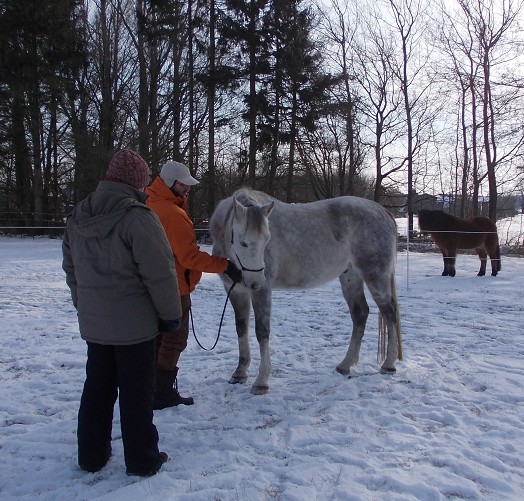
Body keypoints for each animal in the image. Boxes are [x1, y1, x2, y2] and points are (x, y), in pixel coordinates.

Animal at [209, 188, 402, 394]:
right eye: (243, 243)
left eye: (267, 240)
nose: (256, 281)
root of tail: (383, 212)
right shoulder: (236, 292)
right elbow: (241, 328)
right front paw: (239, 373)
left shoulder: (262, 292)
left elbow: (262, 332)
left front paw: (261, 381)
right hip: (351, 278)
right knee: (360, 314)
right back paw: (345, 365)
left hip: (375, 277)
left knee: (390, 313)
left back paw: (388, 365)